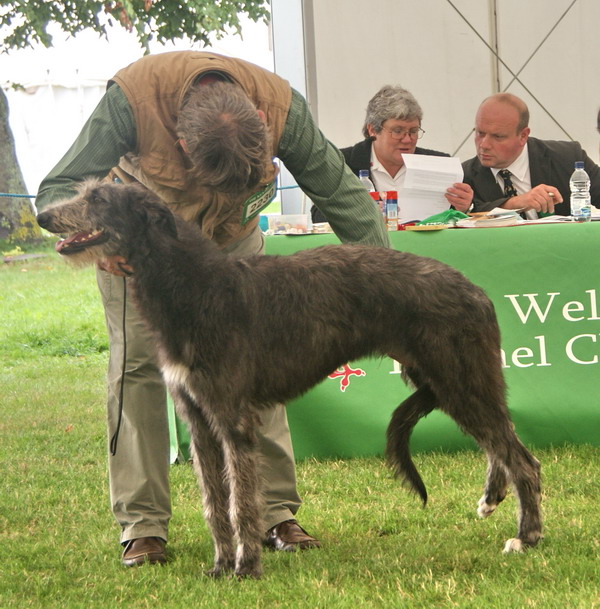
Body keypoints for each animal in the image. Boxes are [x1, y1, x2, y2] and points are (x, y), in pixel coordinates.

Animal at [37, 179, 544, 576]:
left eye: (99, 198)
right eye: (85, 192)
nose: (43, 215)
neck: (194, 287)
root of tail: (476, 290)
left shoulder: (234, 419)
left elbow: (241, 503)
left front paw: (245, 568)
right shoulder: (199, 420)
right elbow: (213, 505)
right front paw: (220, 566)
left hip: (459, 378)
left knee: (522, 458)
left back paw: (527, 536)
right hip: (450, 380)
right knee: (502, 441)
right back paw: (493, 498)